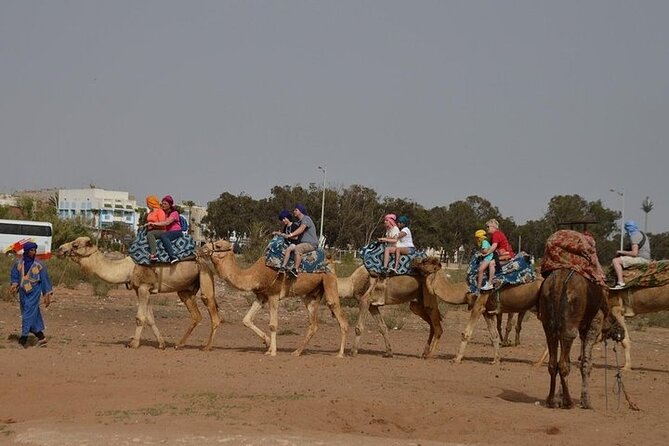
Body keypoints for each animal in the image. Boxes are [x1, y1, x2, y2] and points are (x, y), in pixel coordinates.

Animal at [56, 239, 220, 350]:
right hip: (185, 290)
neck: (128, 268)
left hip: (205, 275)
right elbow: (150, 318)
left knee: (213, 312)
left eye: (75, 245)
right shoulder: (141, 290)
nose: (59, 249)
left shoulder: (143, 287)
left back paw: (207, 347)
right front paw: (161, 344)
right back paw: (179, 344)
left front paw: (133, 343)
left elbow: (140, 317)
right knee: (196, 315)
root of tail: (204, 259)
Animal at [198, 239, 348, 358]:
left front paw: (273, 352)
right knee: (314, 325)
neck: (255, 275)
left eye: (218, 246)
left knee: (340, 316)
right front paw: (268, 343)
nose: (201, 248)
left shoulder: (273, 295)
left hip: (329, 280)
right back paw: (296, 352)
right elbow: (246, 320)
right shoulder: (261, 296)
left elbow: (273, 324)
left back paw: (340, 354)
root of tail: (330, 258)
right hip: (311, 296)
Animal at [336, 264, 468, 358]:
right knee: (432, 325)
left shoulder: (364, 301)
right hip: (416, 305)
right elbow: (383, 327)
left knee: (437, 326)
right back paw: (424, 352)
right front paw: (389, 352)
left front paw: (353, 352)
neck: (352, 283)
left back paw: (429, 355)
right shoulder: (373, 306)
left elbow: (359, 327)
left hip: (429, 298)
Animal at [536, 268, 608, 412]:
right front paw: (586, 401)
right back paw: (569, 402)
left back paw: (551, 401)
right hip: (570, 323)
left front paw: (560, 398)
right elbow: (586, 363)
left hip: (549, 322)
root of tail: (557, 283)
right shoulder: (594, 323)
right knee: (563, 363)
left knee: (554, 362)